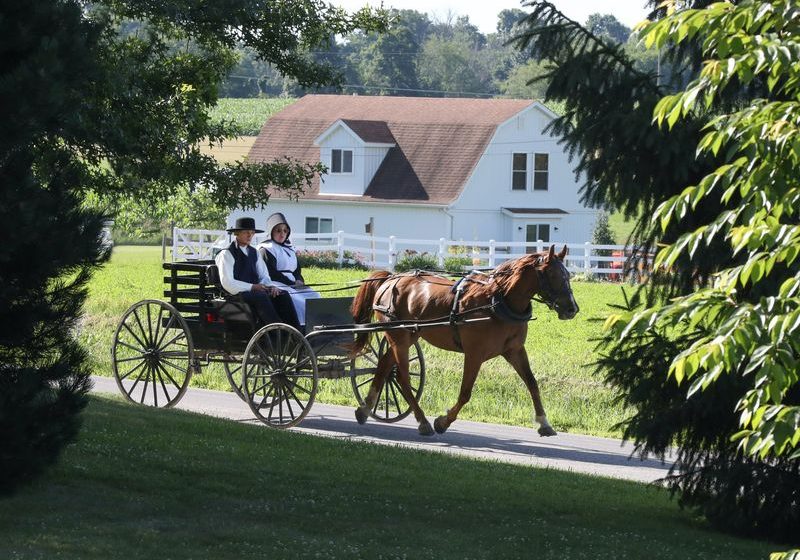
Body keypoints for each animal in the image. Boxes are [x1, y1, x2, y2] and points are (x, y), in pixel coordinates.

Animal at [346, 245, 580, 438]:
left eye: (567, 274)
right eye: (552, 274)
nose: (572, 309)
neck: (497, 300)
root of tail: (391, 278)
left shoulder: (515, 350)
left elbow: (532, 383)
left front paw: (544, 423)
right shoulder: (474, 353)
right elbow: (466, 393)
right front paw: (443, 422)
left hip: (408, 336)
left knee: (385, 364)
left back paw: (365, 409)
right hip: (399, 337)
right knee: (402, 377)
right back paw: (422, 421)